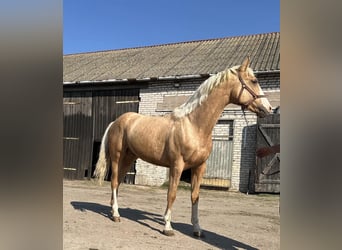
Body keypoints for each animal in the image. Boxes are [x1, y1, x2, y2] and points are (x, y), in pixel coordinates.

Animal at [94, 57, 272, 237]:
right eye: (254, 81)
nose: (268, 108)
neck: (193, 125)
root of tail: (116, 122)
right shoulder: (177, 166)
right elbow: (171, 194)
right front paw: (167, 227)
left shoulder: (199, 167)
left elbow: (195, 196)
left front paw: (197, 229)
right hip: (117, 157)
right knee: (114, 182)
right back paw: (116, 215)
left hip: (129, 158)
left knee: (118, 183)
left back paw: (113, 210)